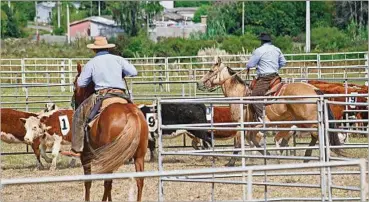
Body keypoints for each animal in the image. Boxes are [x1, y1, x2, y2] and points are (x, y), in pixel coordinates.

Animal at [72, 62, 147, 200]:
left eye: (75, 86)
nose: (75, 103)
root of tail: (131, 113)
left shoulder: (85, 156)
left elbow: (88, 182)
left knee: (107, 182)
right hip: (139, 156)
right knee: (139, 181)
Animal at [197, 56, 344, 166]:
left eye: (210, 70)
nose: (199, 83)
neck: (239, 94)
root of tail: (314, 89)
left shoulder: (240, 124)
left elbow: (238, 143)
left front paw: (230, 163)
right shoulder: (251, 127)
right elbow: (253, 141)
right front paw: (268, 156)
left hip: (309, 121)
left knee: (317, 135)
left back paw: (312, 157)